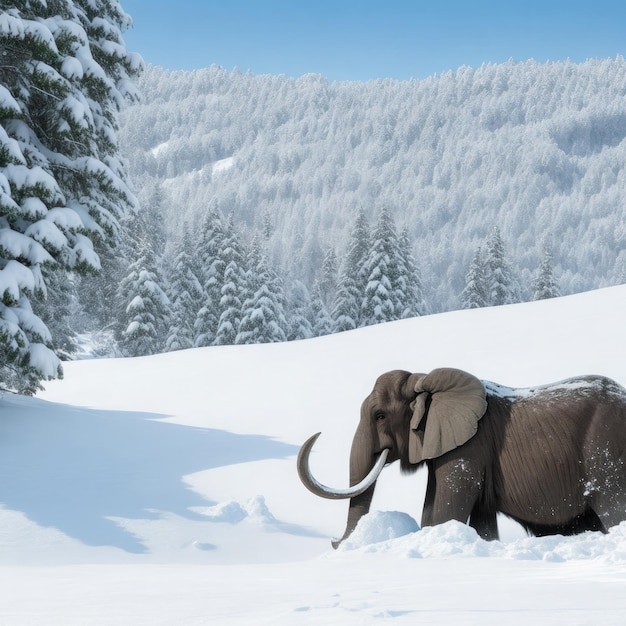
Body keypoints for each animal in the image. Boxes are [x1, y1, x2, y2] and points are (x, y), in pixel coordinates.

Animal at [296, 366, 624, 544]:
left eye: (379, 416)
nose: (334, 542)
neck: (424, 381)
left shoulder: (468, 450)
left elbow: (443, 512)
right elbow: (477, 520)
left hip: (607, 453)